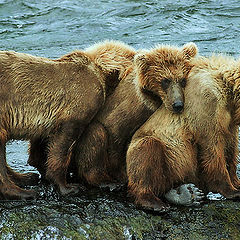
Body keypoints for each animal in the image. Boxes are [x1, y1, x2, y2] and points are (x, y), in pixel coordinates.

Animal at [0, 40, 135, 200]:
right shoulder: (82, 99)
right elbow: (64, 140)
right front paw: (68, 187)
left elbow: (41, 144)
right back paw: (23, 192)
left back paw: (24, 177)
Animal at [125, 54, 240, 212]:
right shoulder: (206, 105)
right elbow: (212, 147)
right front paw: (232, 190)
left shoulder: (229, 120)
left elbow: (231, 148)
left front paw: (237, 182)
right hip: (163, 153)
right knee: (147, 151)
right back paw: (155, 202)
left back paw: (187, 193)